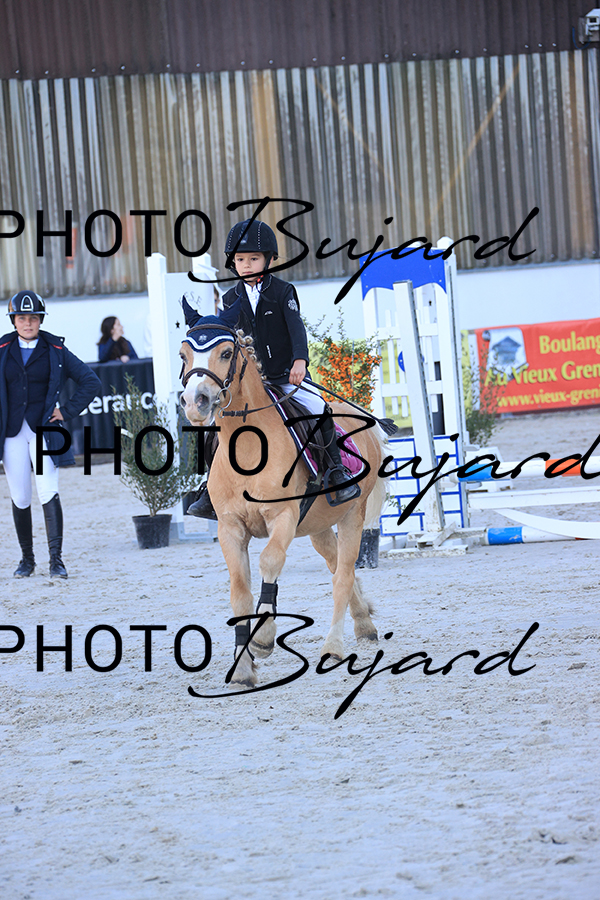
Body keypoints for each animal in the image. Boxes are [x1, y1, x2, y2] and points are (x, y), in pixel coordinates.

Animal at [179, 318, 387, 688]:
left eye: (227, 352)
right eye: (183, 354)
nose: (195, 401)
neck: (247, 446)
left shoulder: (283, 517)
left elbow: (270, 561)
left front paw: (262, 638)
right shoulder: (230, 527)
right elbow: (239, 591)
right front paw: (242, 668)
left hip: (352, 515)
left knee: (343, 577)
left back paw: (333, 647)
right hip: (318, 527)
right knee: (337, 567)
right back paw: (364, 622)